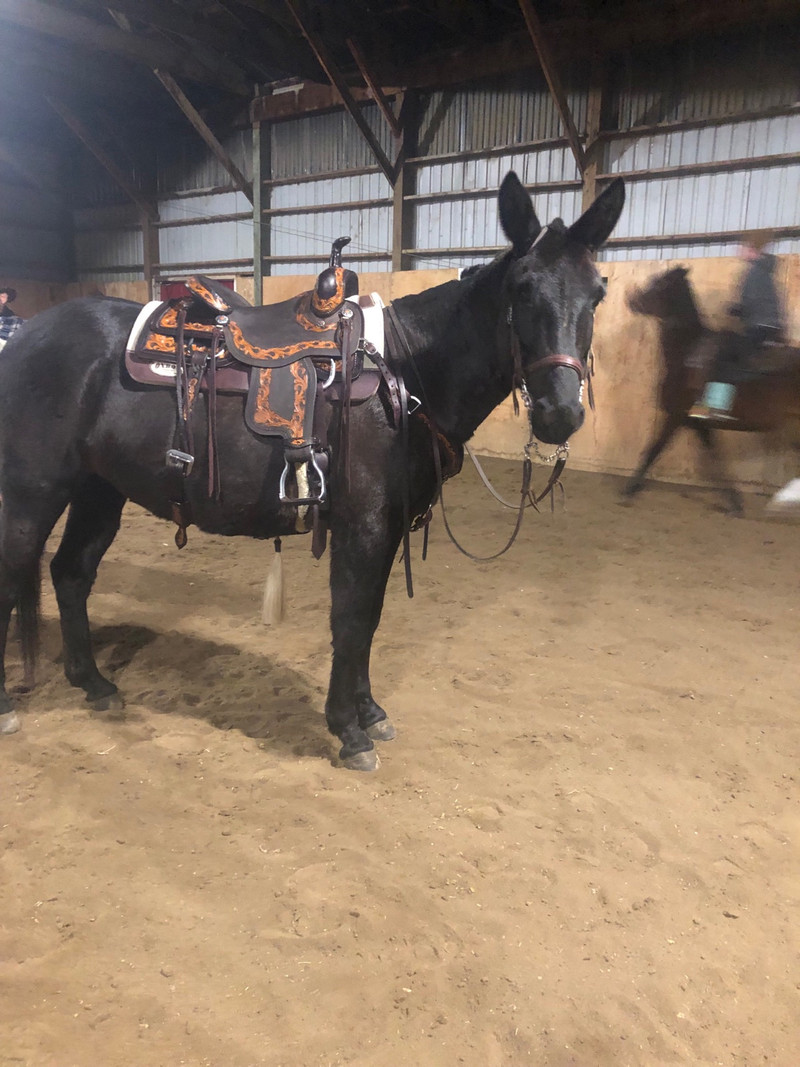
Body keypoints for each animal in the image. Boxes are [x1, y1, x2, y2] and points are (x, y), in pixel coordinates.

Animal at [0, 171, 625, 770]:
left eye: (598, 293)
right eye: (522, 288)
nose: (561, 412)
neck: (405, 372)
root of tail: (26, 336)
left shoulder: (386, 530)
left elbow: (370, 619)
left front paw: (369, 712)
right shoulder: (362, 527)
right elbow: (350, 619)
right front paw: (347, 730)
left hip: (99, 490)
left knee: (71, 573)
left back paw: (95, 683)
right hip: (33, 493)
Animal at [623, 266, 800, 514]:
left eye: (661, 283)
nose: (632, 300)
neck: (685, 352)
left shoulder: (676, 416)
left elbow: (654, 449)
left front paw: (629, 490)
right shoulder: (697, 422)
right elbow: (715, 456)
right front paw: (735, 502)